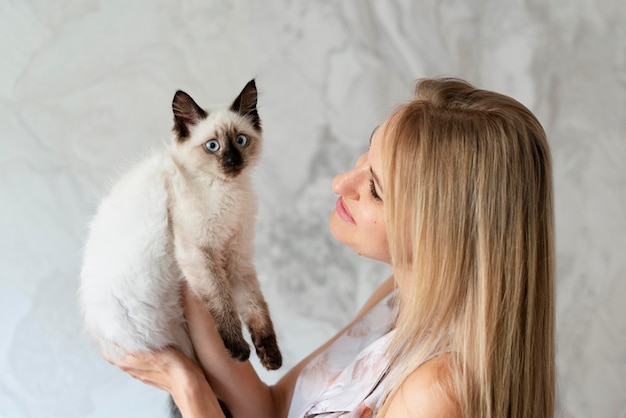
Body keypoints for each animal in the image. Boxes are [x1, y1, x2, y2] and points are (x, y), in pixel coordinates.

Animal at [78, 79, 280, 372]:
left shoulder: (237, 258)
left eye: (241, 141)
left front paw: (271, 358)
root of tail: (110, 339)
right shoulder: (199, 254)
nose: (233, 161)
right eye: (212, 146)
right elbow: (223, 304)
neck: (229, 191)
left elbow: (256, 309)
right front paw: (239, 350)